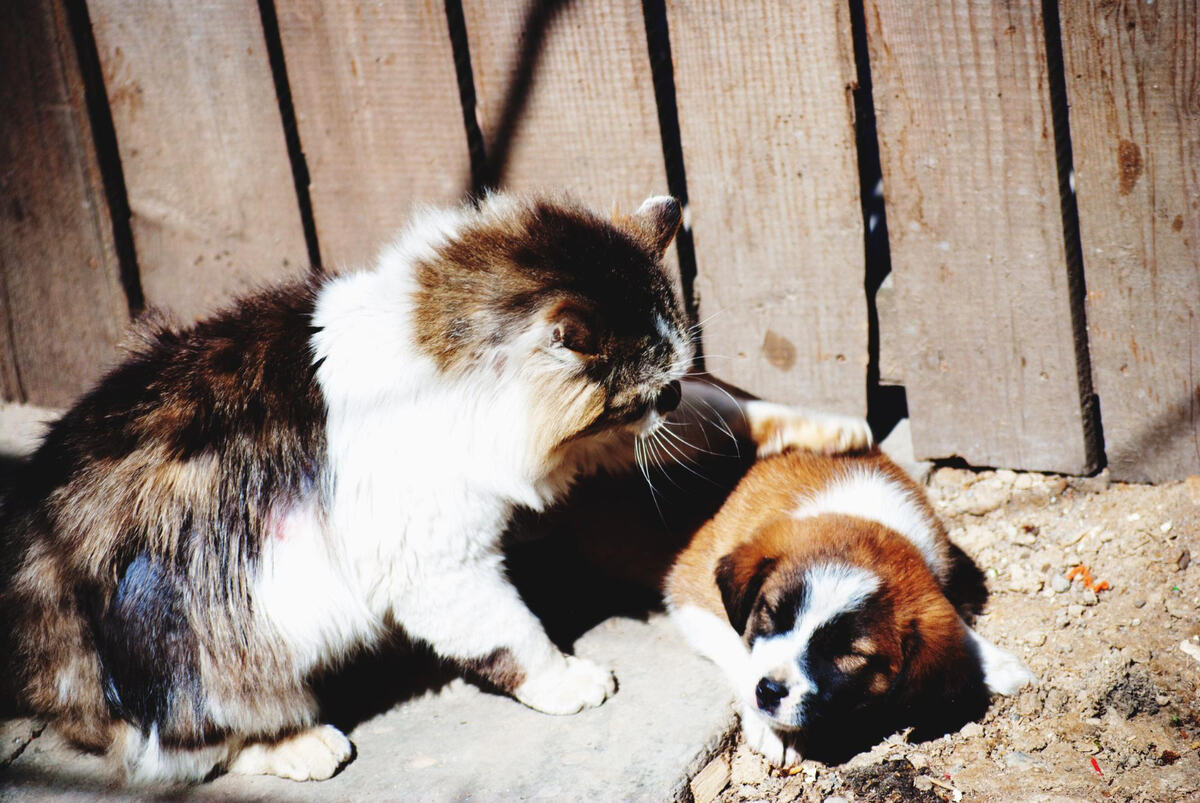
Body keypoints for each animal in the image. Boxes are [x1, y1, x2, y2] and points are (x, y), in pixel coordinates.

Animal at [0, 194, 868, 782]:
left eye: (669, 383)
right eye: (644, 394)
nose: (669, 397)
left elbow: (734, 405)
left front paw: (834, 427)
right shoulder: (440, 565)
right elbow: (514, 633)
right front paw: (570, 680)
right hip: (209, 642)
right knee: (177, 747)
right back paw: (301, 743)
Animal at [667, 448, 1032, 763]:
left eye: (848, 654)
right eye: (771, 614)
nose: (769, 692)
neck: (866, 513)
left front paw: (992, 662)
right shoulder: (689, 585)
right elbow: (737, 648)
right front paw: (773, 730)